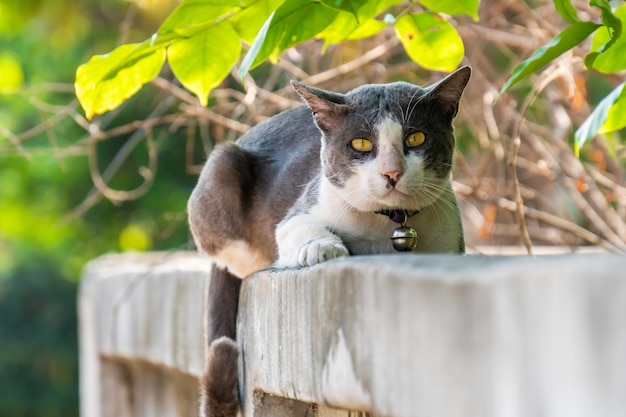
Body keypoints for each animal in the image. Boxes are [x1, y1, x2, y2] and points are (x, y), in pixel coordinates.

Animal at [188, 66, 470, 416]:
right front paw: (323, 247)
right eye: (361, 144)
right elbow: (299, 228)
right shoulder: (299, 211)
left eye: (415, 138)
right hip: (222, 170)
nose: (391, 172)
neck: (388, 222)